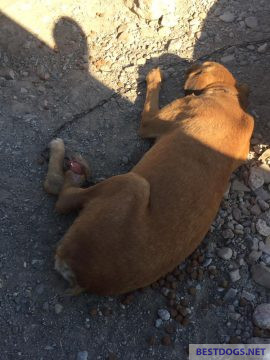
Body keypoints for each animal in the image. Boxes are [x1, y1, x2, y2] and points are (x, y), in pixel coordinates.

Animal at [43, 61, 254, 296]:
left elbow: (151, 99)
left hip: (133, 183)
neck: (230, 98)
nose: (188, 66)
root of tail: (83, 278)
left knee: (60, 195)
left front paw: (154, 77)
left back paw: (67, 162)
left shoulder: (150, 122)